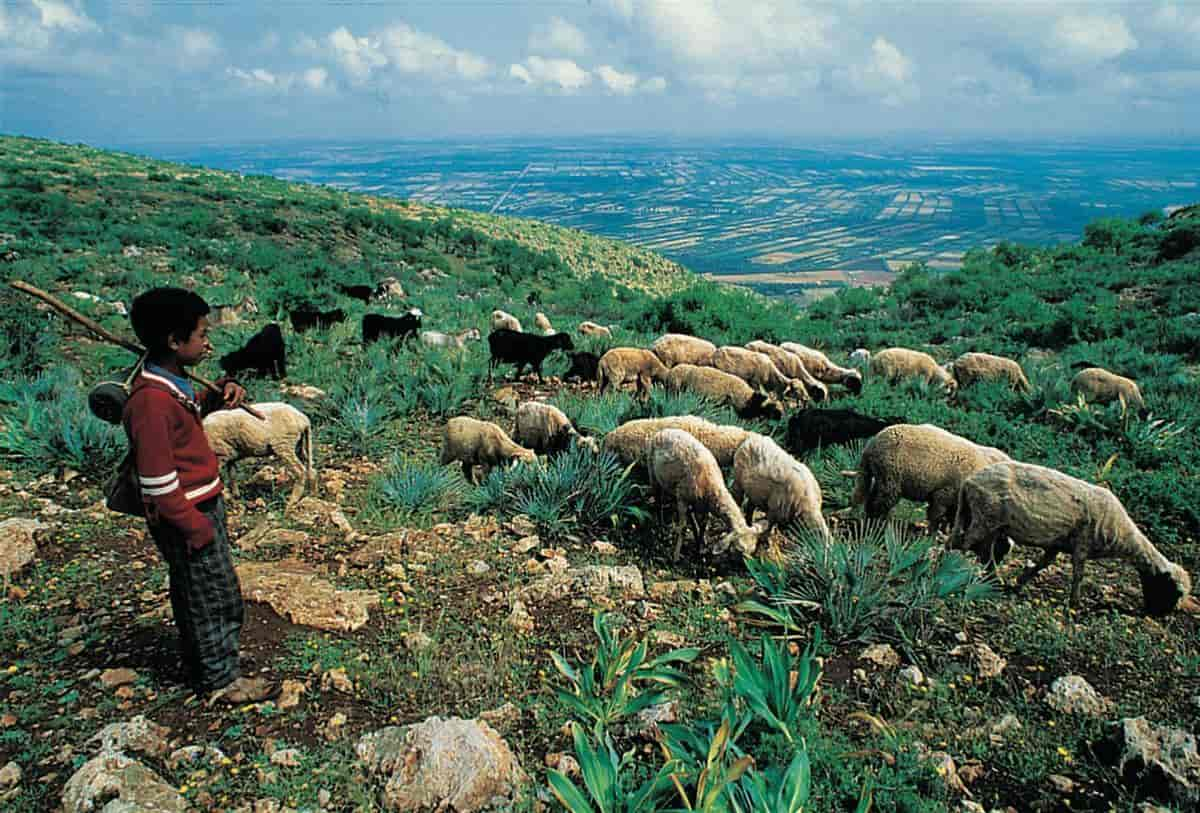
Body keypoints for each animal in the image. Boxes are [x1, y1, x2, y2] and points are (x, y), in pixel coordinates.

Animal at [849, 426, 1008, 534]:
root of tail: (871, 445)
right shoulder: (944, 493)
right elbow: (936, 515)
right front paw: (932, 535)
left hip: (882, 477)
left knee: (872, 499)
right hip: (890, 477)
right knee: (879, 503)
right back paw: (877, 525)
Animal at [945, 462, 1190, 613]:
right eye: (1175, 591)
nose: (1160, 615)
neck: (1122, 534)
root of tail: (969, 482)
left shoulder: (1059, 544)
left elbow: (1044, 563)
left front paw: (1020, 582)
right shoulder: (1082, 543)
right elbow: (1078, 574)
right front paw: (1075, 603)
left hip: (982, 519)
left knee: (971, 547)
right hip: (984, 517)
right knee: (964, 543)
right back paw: (953, 570)